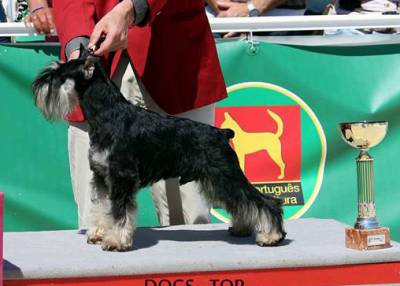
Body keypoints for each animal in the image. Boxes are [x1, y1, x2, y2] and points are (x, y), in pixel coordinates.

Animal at [32, 48, 286, 251]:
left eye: (58, 75)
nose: (37, 86)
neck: (108, 113)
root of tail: (222, 133)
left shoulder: (121, 177)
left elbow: (119, 212)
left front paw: (116, 241)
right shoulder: (102, 177)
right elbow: (102, 207)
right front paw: (98, 233)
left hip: (225, 175)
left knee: (265, 201)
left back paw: (271, 236)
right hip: (216, 180)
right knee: (242, 203)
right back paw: (242, 228)